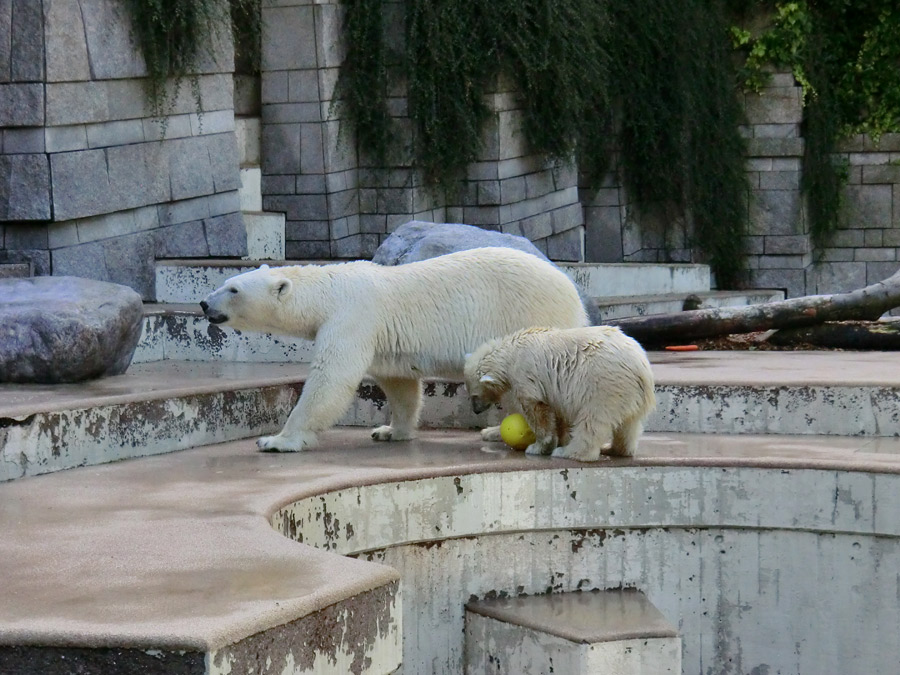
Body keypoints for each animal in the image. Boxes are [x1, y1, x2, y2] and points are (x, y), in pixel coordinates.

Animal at [200, 246, 588, 452]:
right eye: (226, 282)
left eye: (233, 289)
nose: (204, 304)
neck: (327, 293)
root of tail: (570, 288)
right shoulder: (384, 340)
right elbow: (399, 385)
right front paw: (390, 431)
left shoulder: (351, 318)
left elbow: (330, 379)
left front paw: (277, 440)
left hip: (528, 314)